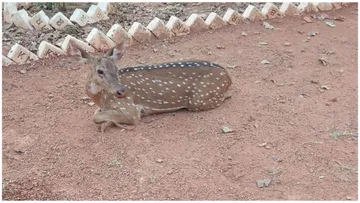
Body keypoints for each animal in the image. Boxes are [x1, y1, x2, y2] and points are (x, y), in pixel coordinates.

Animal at [76, 42, 233, 132]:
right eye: (100, 71)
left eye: (116, 68)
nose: (121, 91)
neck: (102, 100)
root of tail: (227, 75)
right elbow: (96, 113)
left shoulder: (130, 110)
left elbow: (96, 117)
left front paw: (107, 124)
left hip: (198, 100)